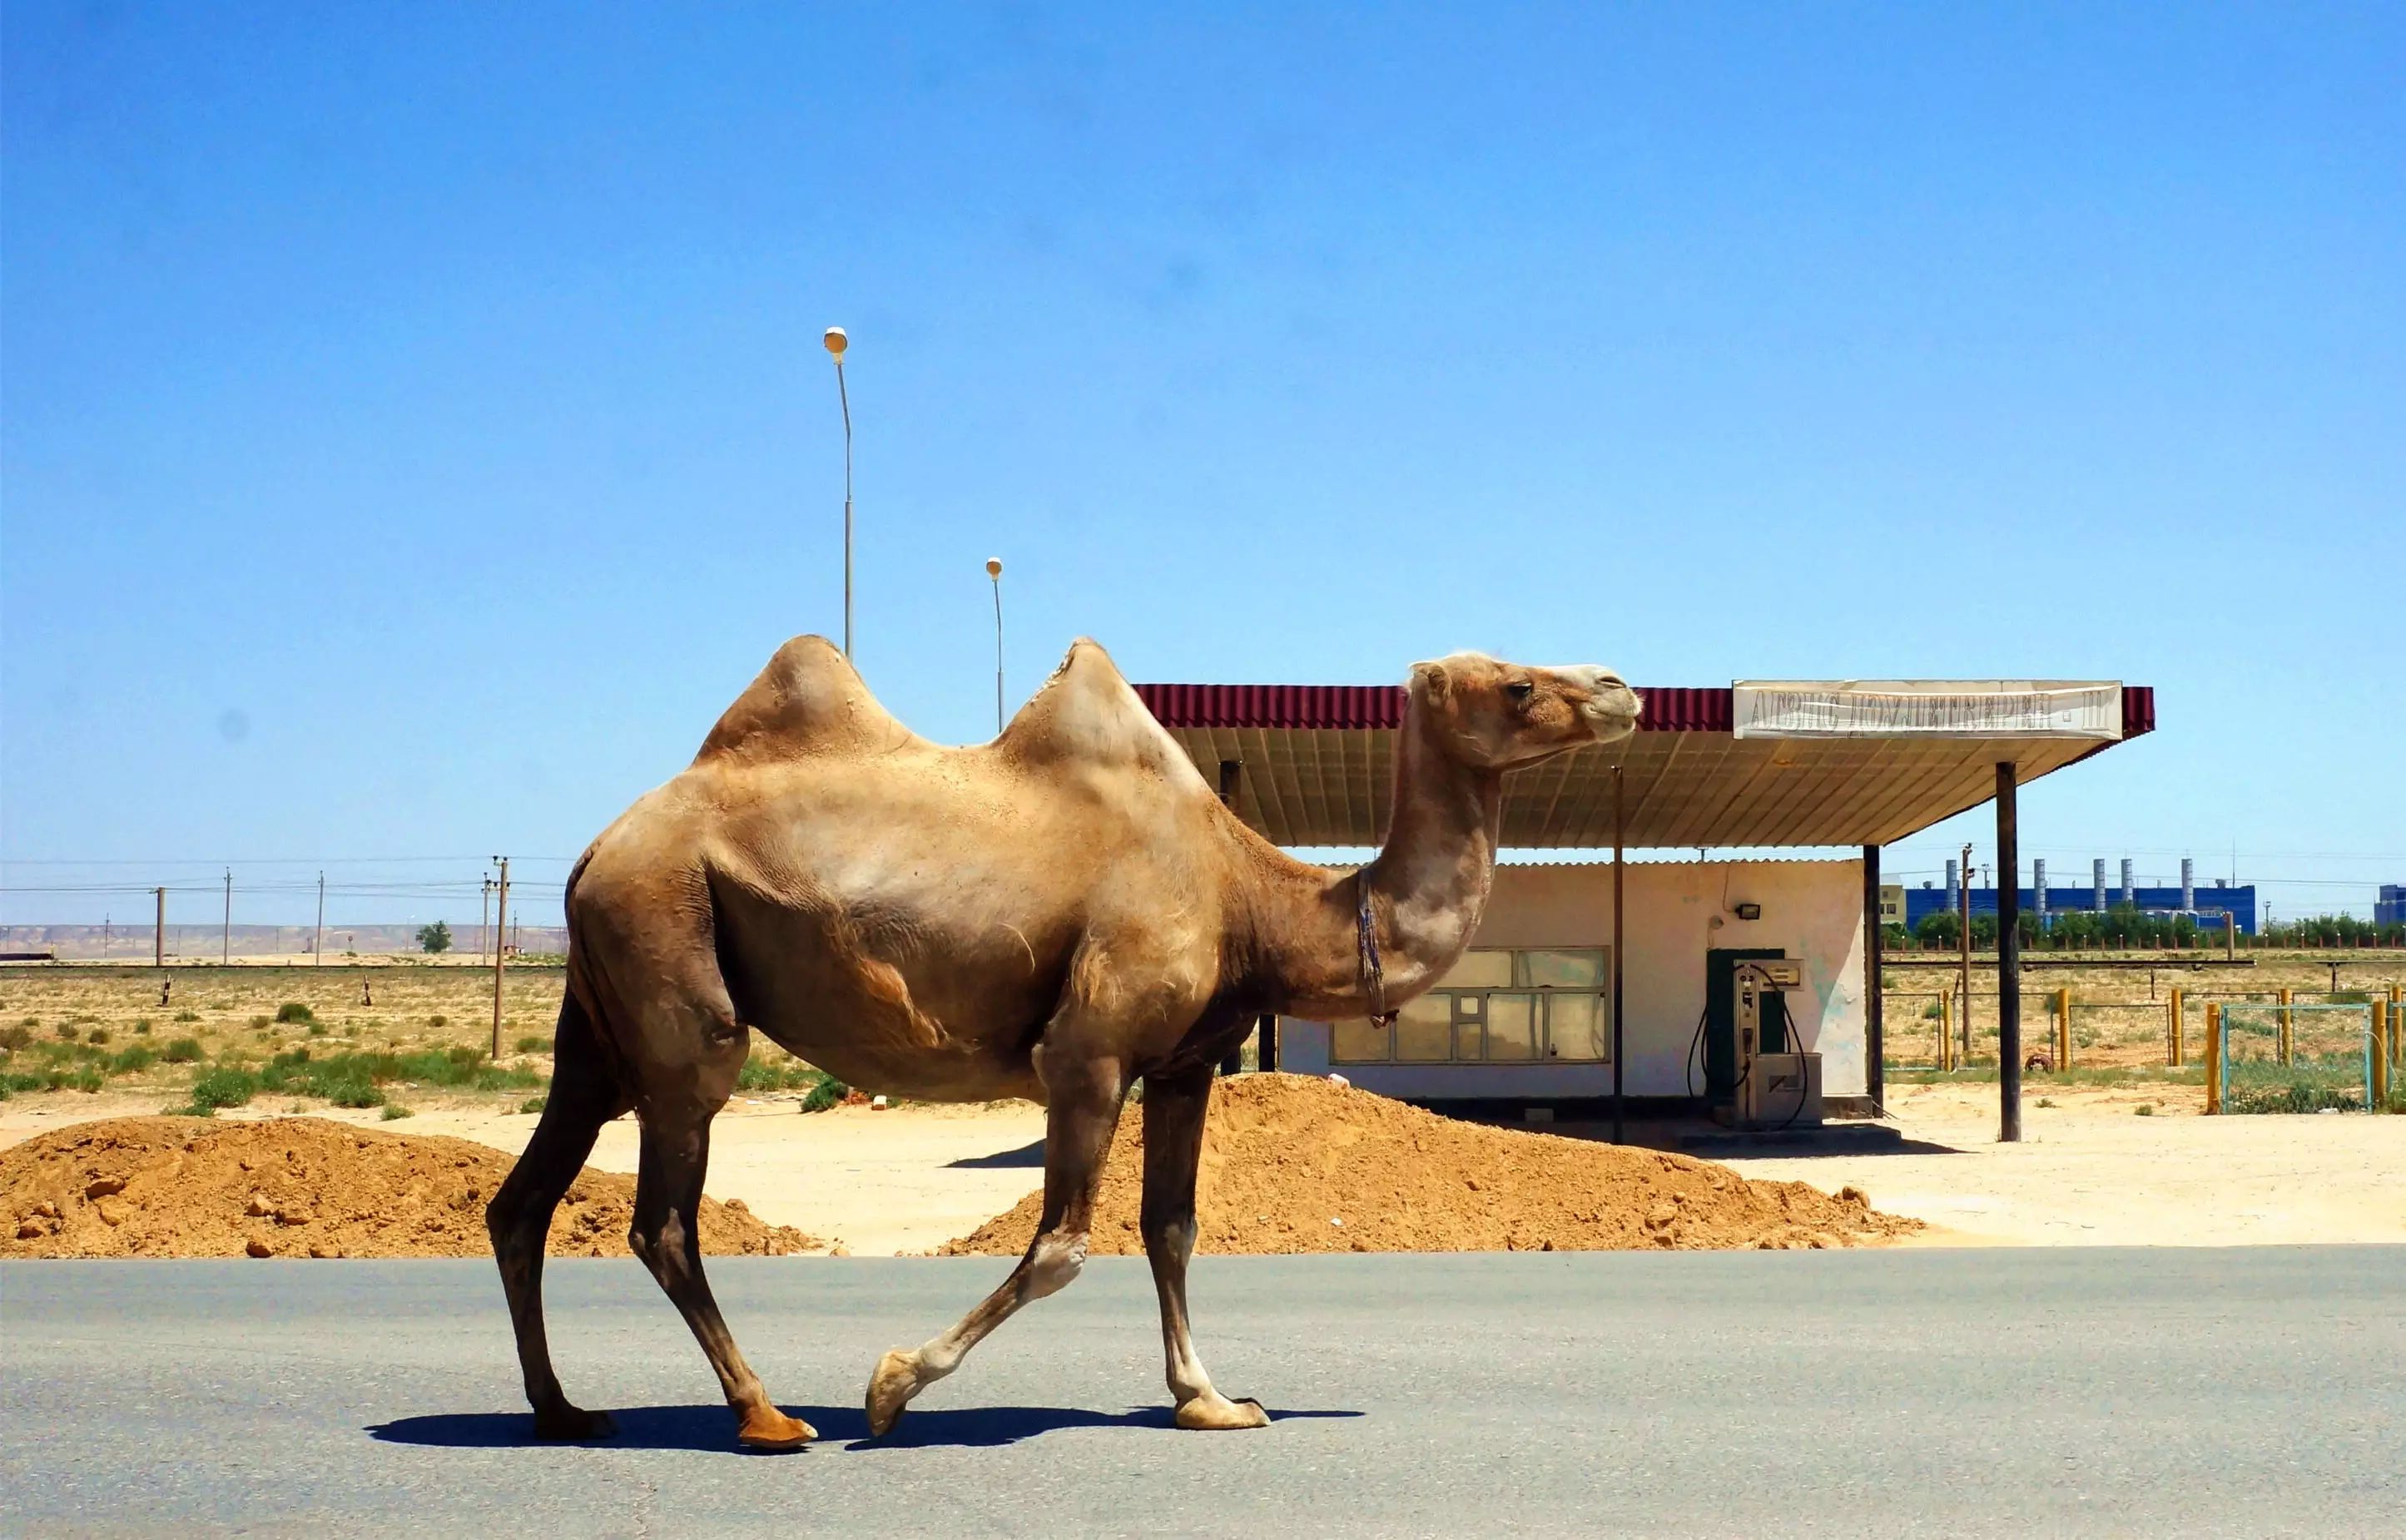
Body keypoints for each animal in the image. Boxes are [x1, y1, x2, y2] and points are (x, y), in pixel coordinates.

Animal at [485, 630, 1635, 1453]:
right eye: (1516, 685)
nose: (1621, 687)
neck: (1253, 902)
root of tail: (598, 846)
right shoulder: (1089, 1051)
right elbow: (1061, 1247)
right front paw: (891, 1388)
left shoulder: (1182, 1064)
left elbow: (1170, 1228)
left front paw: (1210, 1400)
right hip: (670, 950)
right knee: (663, 1217)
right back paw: (765, 1417)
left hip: (597, 1015)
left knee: (525, 1199)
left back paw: (563, 1411)